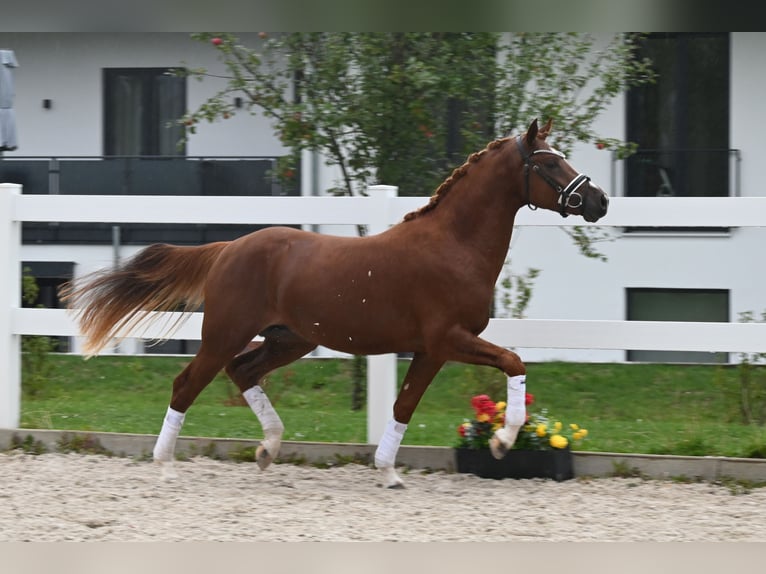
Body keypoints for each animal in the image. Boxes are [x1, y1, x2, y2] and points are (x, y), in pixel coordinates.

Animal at [60, 118, 608, 488]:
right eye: (550, 162)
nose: (599, 201)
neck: (453, 245)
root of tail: (228, 248)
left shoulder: (430, 349)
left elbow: (404, 404)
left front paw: (389, 473)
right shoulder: (446, 340)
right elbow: (512, 361)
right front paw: (501, 441)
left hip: (290, 339)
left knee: (243, 371)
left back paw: (268, 448)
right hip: (224, 334)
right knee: (188, 383)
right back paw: (166, 464)